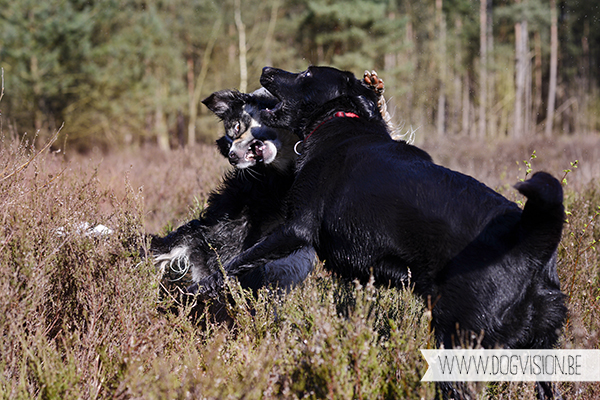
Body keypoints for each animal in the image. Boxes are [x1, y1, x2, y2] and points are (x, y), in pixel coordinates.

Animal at [200, 65, 568, 396]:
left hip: (459, 337)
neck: (340, 120)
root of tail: (530, 247)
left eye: (306, 74)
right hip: (539, 351)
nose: (265, 69)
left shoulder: (296, 228)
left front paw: (205, 283)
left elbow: (235, 262)